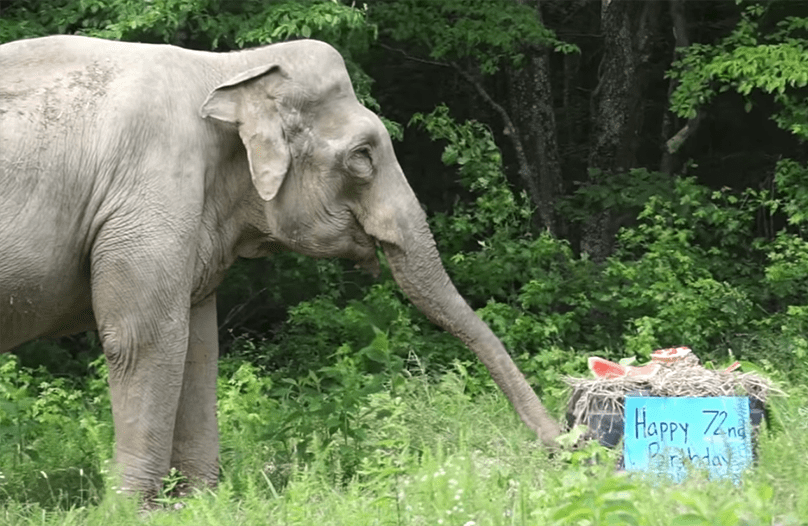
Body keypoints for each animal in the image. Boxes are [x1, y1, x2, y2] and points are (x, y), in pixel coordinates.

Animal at [0, 34, 560, 500]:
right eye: (362, 157)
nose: (563, 444)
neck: (229, 68)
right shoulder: (149, 194)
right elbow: (143, 338)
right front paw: (131, 509)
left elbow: (197, 345)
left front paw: (199, 503)